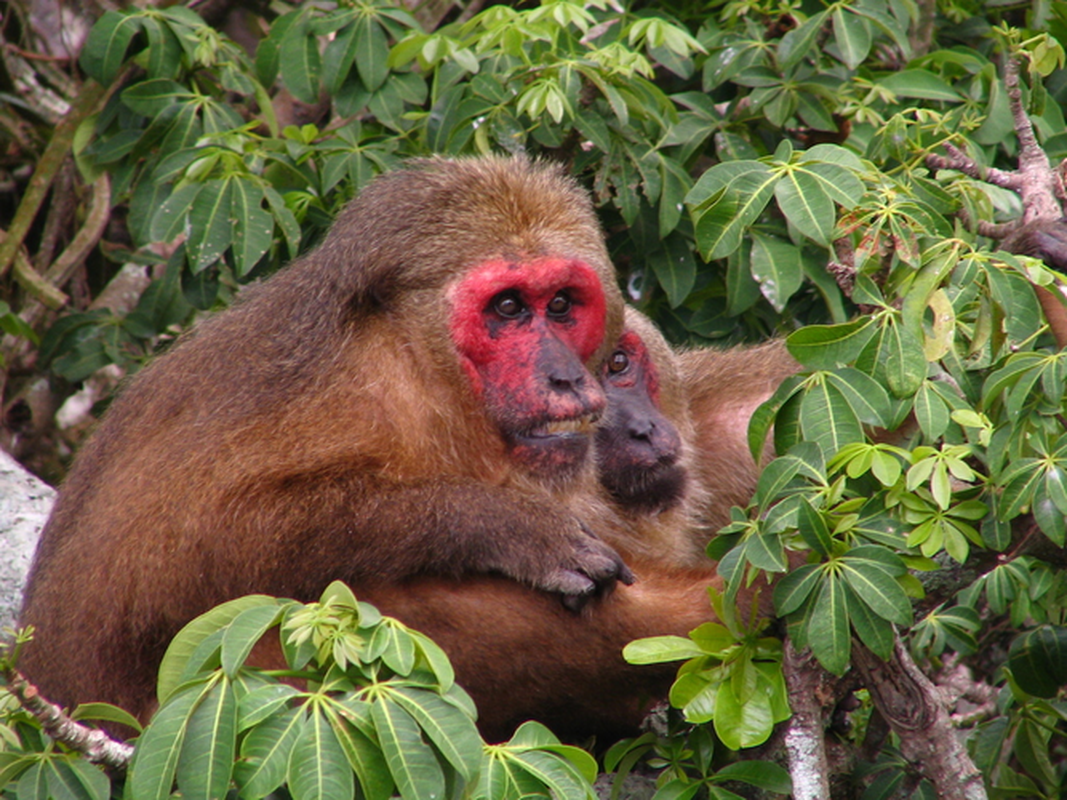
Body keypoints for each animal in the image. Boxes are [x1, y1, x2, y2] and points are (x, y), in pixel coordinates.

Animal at [18, 156, 631, 725]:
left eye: (560, 304)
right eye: (508, 307)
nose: (565, 377)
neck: (425, 373)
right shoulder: (346, 398)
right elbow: (193, 546)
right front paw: (501, 525)